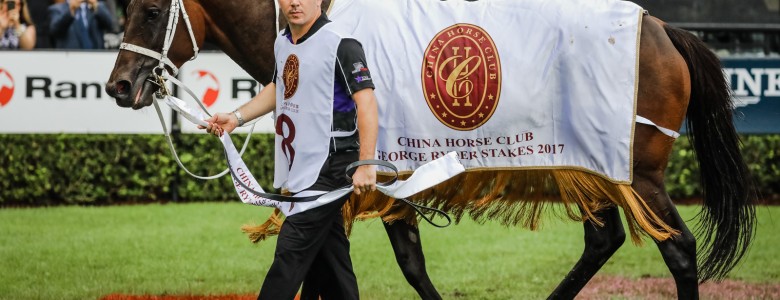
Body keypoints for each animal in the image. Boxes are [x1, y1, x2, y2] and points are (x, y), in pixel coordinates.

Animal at [105, 1, 756, 298]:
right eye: (125, 7)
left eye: (152, 9)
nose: (118, 86)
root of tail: (661, 28)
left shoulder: (380, 178)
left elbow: (406, 265)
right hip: (588, 170)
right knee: (604, 241)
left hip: (637, 174)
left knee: (679, 250)